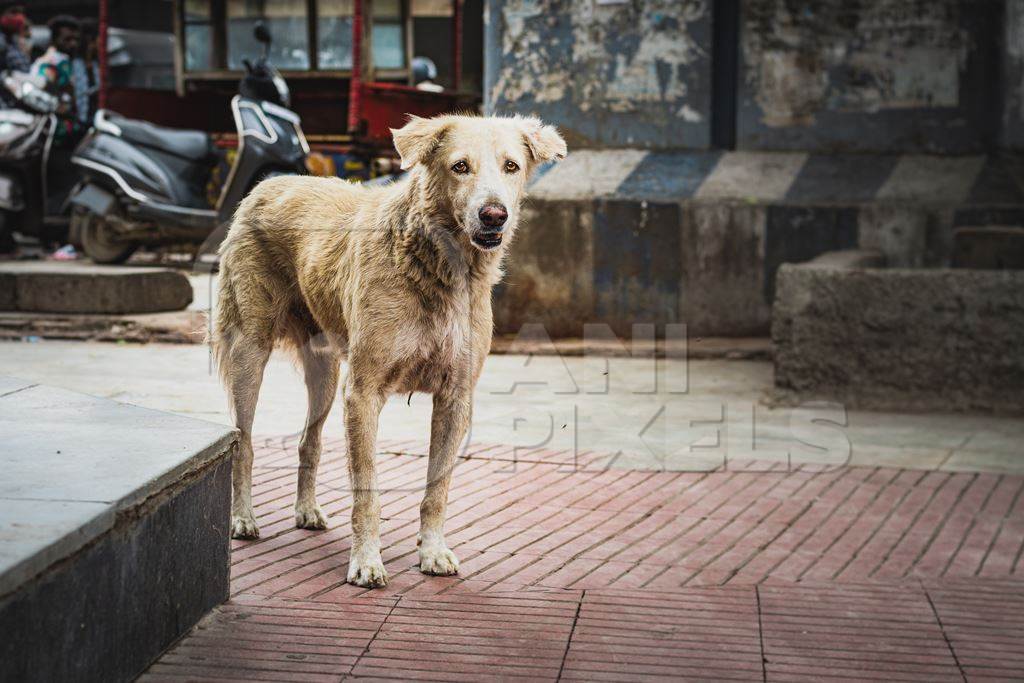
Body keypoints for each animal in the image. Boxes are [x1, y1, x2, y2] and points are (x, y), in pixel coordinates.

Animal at [215, 113, 565, 589]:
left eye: (511, 166)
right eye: (460, 167)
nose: (494, 215)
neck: (437, 268)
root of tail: (266, 185)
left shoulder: (456, 397)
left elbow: (437, 488)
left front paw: (432, 552)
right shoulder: (363, 393)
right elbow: (368, 491)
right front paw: (365, 561)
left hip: (326, 372)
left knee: (309, 441)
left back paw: (306, 510)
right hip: (250, 351)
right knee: (245, 441)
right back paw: (243, 518)